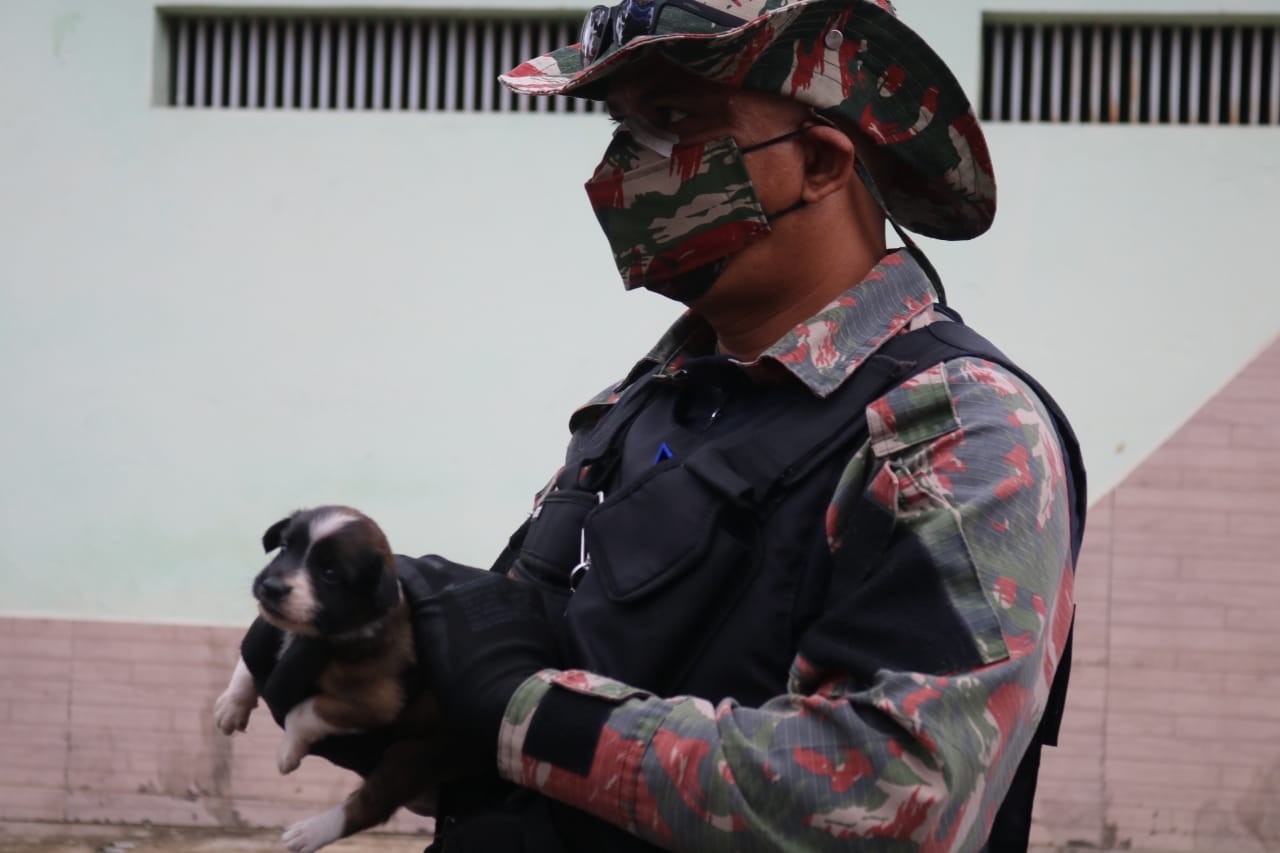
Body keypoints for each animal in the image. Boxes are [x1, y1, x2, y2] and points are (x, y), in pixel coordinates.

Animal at [212, 504, 448, 850]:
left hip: (411, 754)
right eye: (285, 548)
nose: (271, 587)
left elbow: (302, 712)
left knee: (369, 805)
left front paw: (287, 752)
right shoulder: (269, 638)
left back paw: (308, 833)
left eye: (330, 574)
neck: (310, 635)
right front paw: (231, 705)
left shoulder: (375, 701)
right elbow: (247, 663)